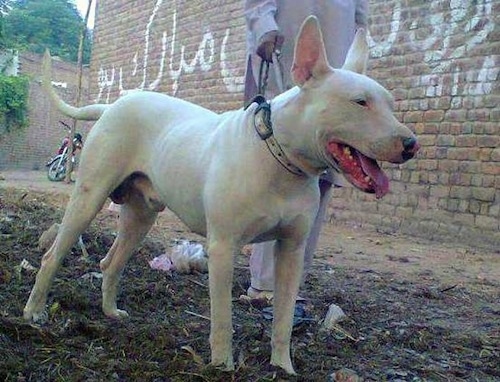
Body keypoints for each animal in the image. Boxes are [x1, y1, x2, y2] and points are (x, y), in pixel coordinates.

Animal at [25, 16, 420, 374]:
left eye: (389, 103)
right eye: (360, 102)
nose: (411, 144)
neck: (280, 159)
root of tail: (111, 106)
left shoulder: (291, 252)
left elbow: (283, 318)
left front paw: (283, 367)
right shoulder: (223, 248)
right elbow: (223, 318)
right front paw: (222, 365)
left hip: (141, 216)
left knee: (111, 262)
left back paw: (110, 312)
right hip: (88, 199)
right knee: (52, 256)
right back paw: (34, 312)